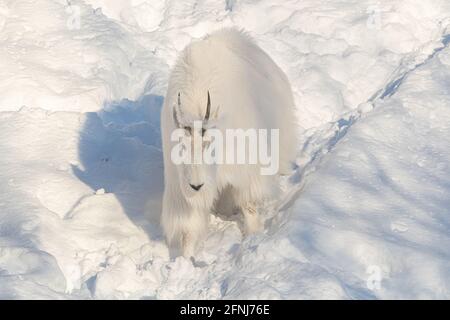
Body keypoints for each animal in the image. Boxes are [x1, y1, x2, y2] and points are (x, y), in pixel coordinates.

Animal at [160, 29, 298, 258]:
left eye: (209, 143)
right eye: (181, 146)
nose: (196, 185)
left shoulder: (248, 169)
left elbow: (249, 205)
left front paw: (253, 235)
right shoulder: (180, 190)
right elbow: (188, 227)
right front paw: (184, 259)